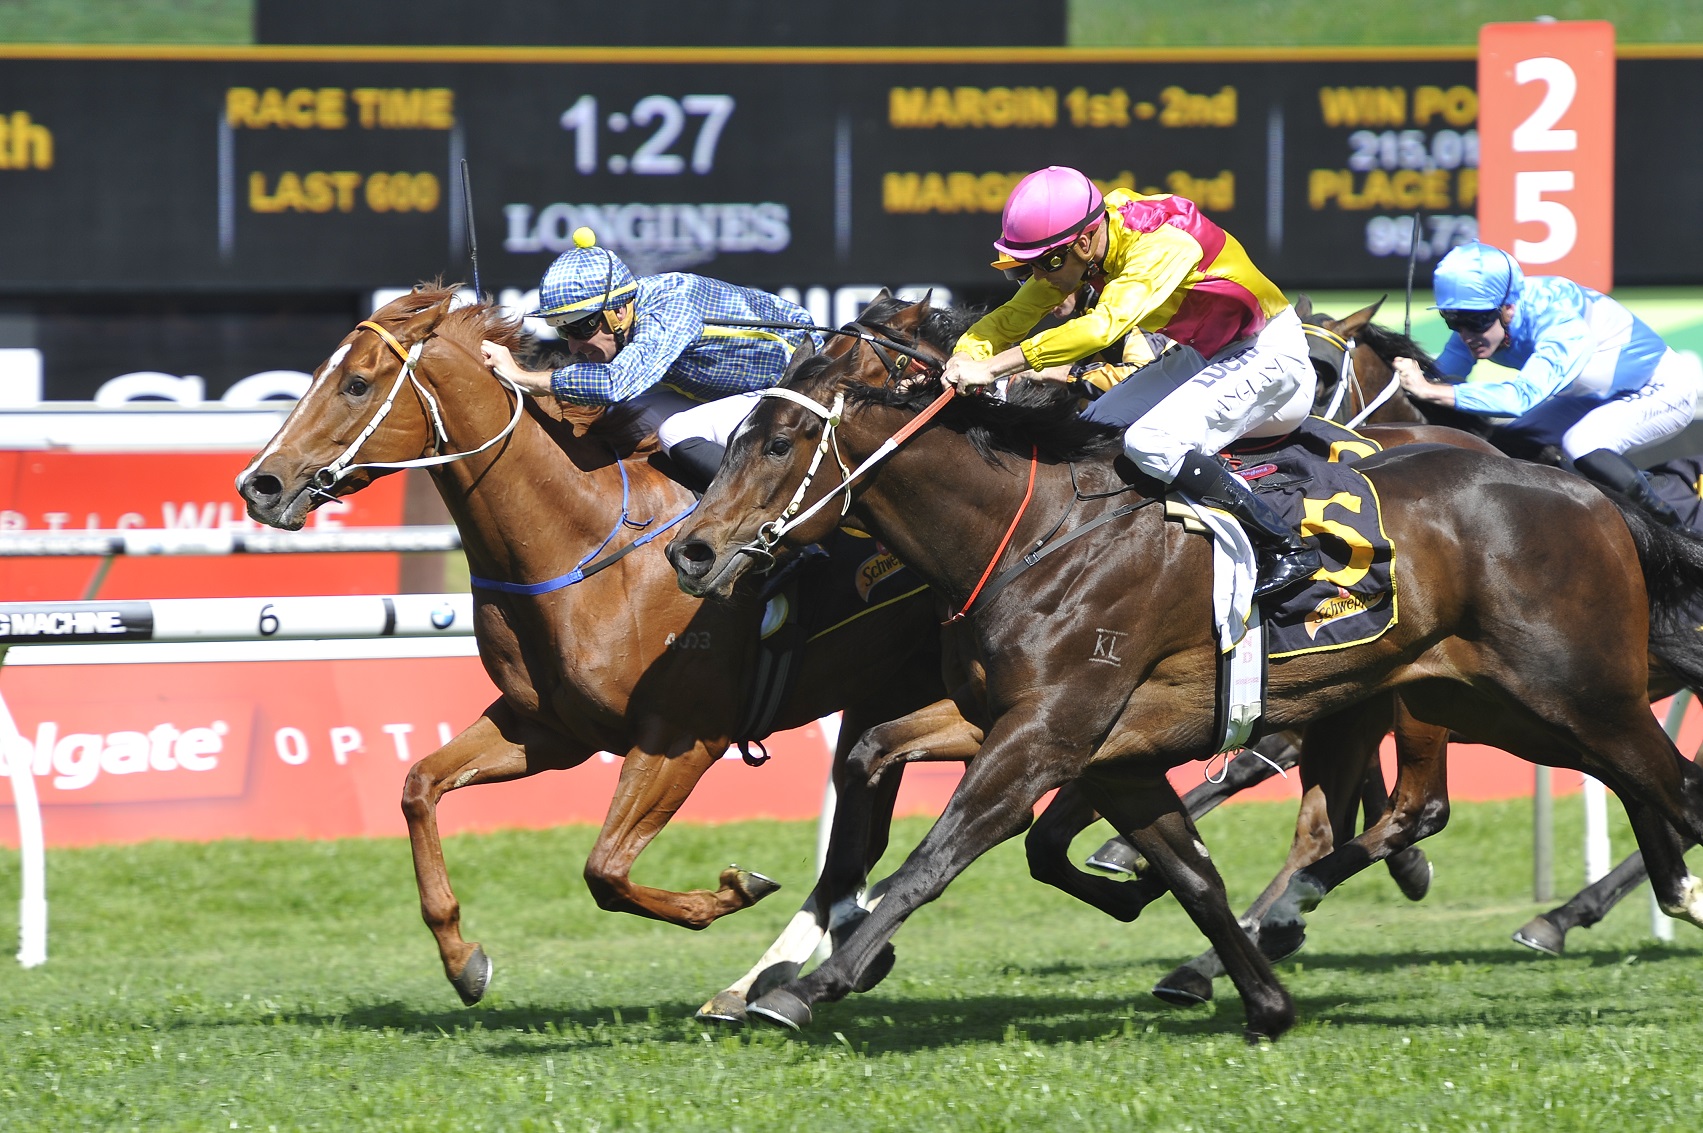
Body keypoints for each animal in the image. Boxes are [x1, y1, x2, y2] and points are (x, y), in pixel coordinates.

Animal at [233, 287, 946, 1001]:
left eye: (356, 383)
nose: (259, 485)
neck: (586, 542)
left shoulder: (683, 737)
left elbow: (604, 870)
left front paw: (735, 889)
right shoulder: (547, 729)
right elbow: (419, 786)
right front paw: (462, 959)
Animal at [667, 296, 1703, 1035]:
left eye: (780, 440)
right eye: (741, 433)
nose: (690, 551)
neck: (1035, 531)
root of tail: (1582, 493)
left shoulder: (1045, 737)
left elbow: (941, 854)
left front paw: (813, 983)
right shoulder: (1085, 741)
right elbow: (1186, 869)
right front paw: (1253, 992)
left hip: (1574, 693)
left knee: (1660, 787)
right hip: (1499, 704)